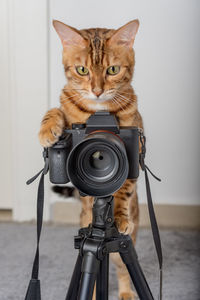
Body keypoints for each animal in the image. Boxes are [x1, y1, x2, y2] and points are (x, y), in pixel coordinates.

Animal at [38, 19, 142, 298]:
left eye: (112, 70)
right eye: (82, 70)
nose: (96, 91)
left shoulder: (135, 140)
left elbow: (124, 188)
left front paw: (119, 216)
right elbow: (55, 111)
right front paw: (47, 130)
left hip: (126, 243)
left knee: (122, 267)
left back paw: (126, 291)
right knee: (94, 281)